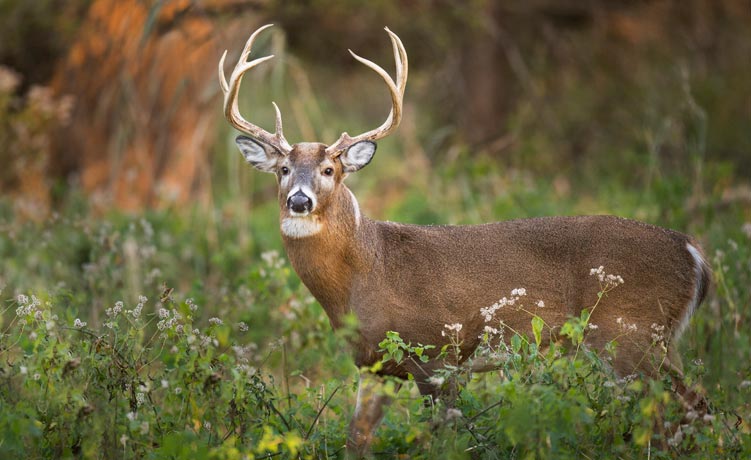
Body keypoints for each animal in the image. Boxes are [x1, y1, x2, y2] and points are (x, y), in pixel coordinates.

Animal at [218, 24, 711, 455]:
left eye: (329, 170)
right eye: (284, 169)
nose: (299, 200)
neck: (367, 270)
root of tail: (693, 252)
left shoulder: (440, 352)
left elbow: (444, 438)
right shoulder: (373, 364)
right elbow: (356, 440)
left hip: (631, 332)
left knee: (685, 407)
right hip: (651, 339)